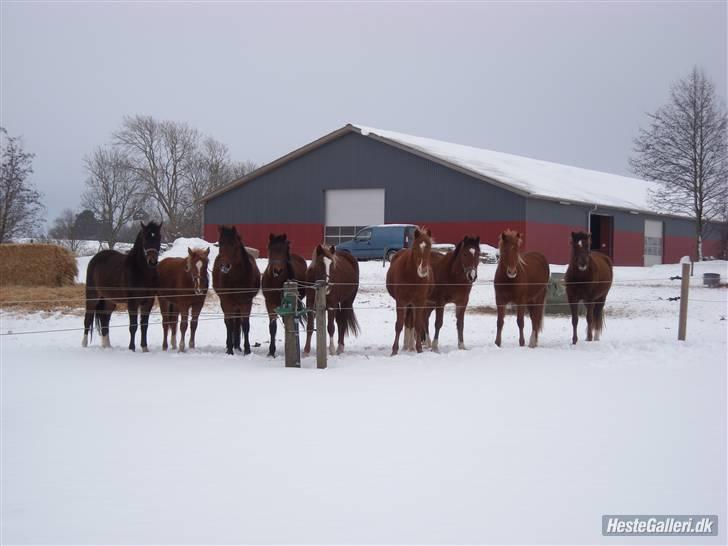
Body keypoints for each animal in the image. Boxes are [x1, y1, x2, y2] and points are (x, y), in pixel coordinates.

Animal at [83, 220, 163, 348]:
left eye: (159, 238)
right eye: (145, 239)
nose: (152, 262)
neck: (141, 271)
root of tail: (95, 258)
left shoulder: (148, 301)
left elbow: (144, 325)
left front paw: (144, 347)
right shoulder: (132, 302)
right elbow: (133, 326)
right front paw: (132, 348)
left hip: (109, 300)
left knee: (105, 319)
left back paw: (107, 346)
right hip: (92, 296)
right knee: (88, 318)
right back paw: (84, 344)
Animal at [213, 224, 262, 354]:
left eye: (233, 244)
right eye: (220, 243)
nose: (224, 266)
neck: (236, 279)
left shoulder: (246, 303)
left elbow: (245, 325)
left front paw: (247, 350)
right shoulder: (226, 303)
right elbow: (229, 324)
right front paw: (230, 350)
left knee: (238, 322)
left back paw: (238, 346)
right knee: (229, 323)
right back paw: (231, 345)